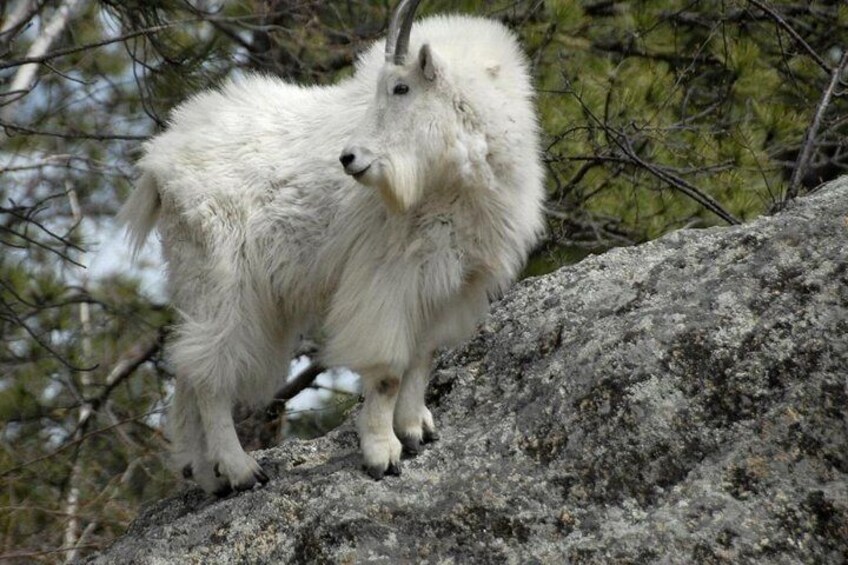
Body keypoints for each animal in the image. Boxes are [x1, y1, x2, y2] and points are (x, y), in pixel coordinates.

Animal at [119, 0, 544, 492]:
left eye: (401, 87)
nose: (349, 158)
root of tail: (159, 164)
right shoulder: (388, 277)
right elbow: (387, 371)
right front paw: (382, 453)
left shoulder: (448, 281)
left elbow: (423, 357)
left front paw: (415, 430)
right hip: (223, 278)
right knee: (209, 371)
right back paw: (241, 469)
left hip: (196, 282)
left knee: (188, 368)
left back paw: (207, 474)